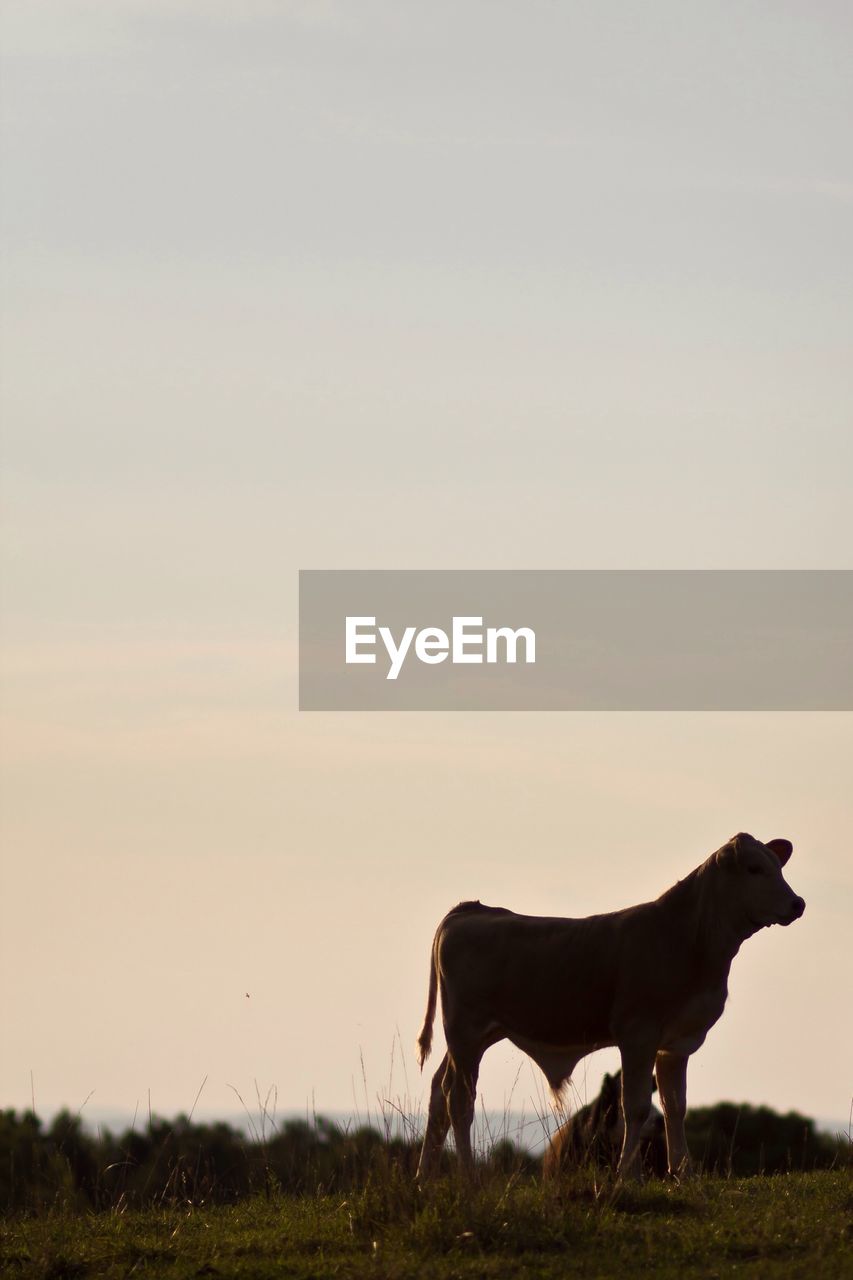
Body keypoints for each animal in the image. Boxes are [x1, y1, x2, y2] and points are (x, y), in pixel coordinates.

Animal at [414, 834, 799, 1182]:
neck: (689, 939)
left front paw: (684, 1174)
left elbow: (675, 1107)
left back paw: (425, 1176)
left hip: (476, 1036)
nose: (798, 904)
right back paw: (468, 1177)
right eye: (754, 868)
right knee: (458, 1099)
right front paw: (628, 1175)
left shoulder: (677, 1042)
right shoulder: (638, 1034)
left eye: (778, 866)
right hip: (464, 1029)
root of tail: (471, 909)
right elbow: (637, 1106)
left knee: (437, 1093)